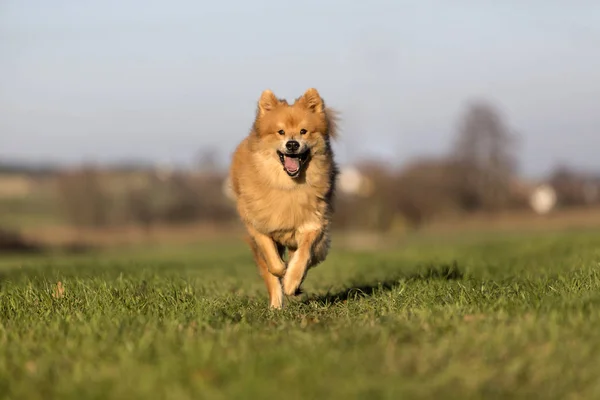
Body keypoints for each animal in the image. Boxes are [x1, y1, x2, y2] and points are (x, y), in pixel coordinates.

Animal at [229, 88, 338, 310]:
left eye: (303, 131)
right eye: (280, 132)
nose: (292, 144)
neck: (288, 186)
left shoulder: (313, 223)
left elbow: (304, 255)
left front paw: (292, 281)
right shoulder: (258, 225)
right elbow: (273, 262)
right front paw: (282, 271)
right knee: (269, 272)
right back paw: (275, 306)